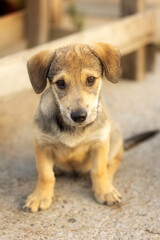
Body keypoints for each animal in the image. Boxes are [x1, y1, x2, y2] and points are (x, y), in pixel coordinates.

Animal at [24, 42, 123, 212]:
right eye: (60, 83)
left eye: (90, 79)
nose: (79, 116)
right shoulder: (42, 145)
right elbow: (45, 174)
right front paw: (40, 196)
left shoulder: (100, 142)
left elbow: (99, 170)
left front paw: (104, 191)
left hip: (115, 135)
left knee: (114, 162)